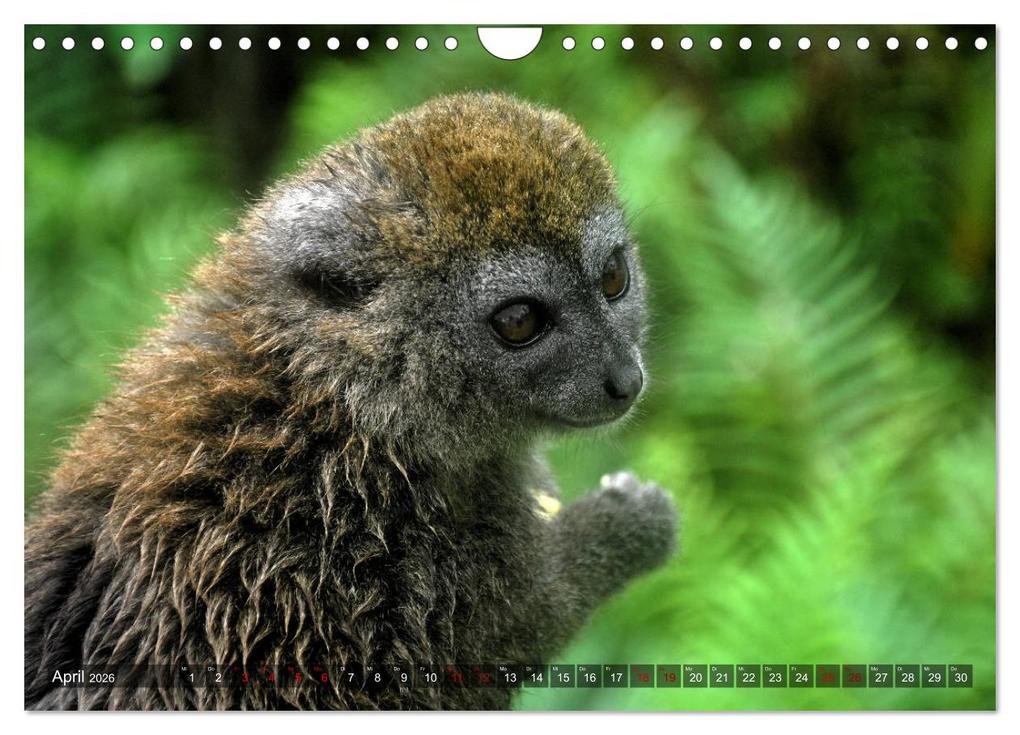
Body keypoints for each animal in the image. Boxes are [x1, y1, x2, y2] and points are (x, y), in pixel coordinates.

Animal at [24, 92, 678, 710]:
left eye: (614, 278)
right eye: (519, 321)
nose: (625, 379)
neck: (334, 395)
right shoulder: (383, 549)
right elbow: (523, 625)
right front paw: (627, 523)